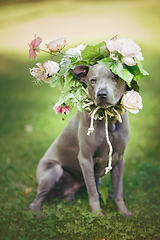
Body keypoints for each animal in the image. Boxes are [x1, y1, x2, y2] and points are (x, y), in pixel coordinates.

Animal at [29, 63, 134, 218]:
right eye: (92, 80)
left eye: (115, 77)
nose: (101, 94)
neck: (108, 119)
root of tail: (65, 195)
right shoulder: (86, 159)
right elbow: (92, 192)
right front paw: (97, 214)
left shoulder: (119, 159)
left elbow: (118, 190)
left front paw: (124, 212)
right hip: (53, 170)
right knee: (35, 201)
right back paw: (38, 214)